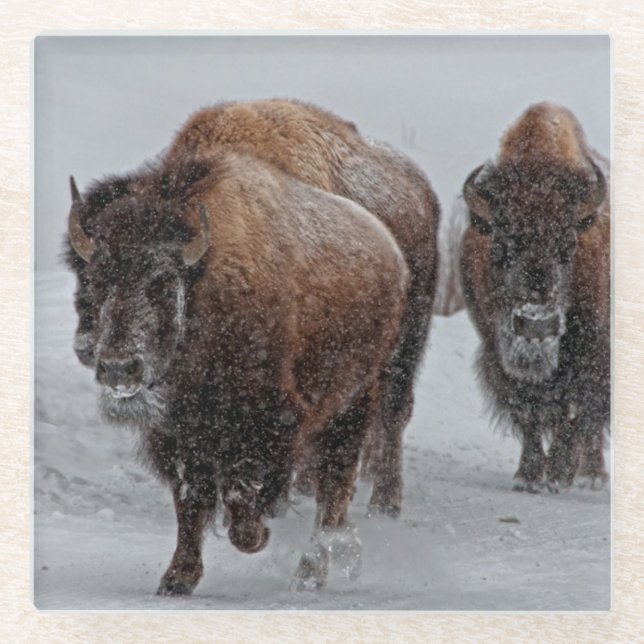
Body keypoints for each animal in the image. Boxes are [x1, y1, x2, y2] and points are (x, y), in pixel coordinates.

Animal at [460, 102, 610, 492]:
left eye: (568, 244)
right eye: (499, 245)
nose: (535, 326)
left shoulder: (591, 351)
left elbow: (575, 410)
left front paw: (557, 474)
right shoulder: (496, 350)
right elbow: (526, 409)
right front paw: (528, 476)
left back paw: (592, 474)